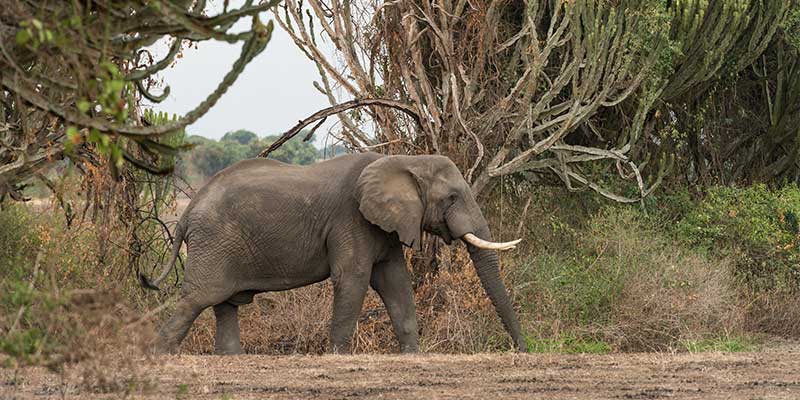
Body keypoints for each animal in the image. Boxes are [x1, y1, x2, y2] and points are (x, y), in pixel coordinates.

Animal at [140, 152, 526, 354]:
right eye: (451, 198)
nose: (523, 349)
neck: (405, 160)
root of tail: (189, 210)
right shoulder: (350, 219)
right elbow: (352, 279)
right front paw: (338, 356)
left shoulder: (384, 227)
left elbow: (396, 283)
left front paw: (412, 356)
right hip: (215, 241)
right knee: (198, 298)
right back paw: (159, 355)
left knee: (225, 304)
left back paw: (230, 358)